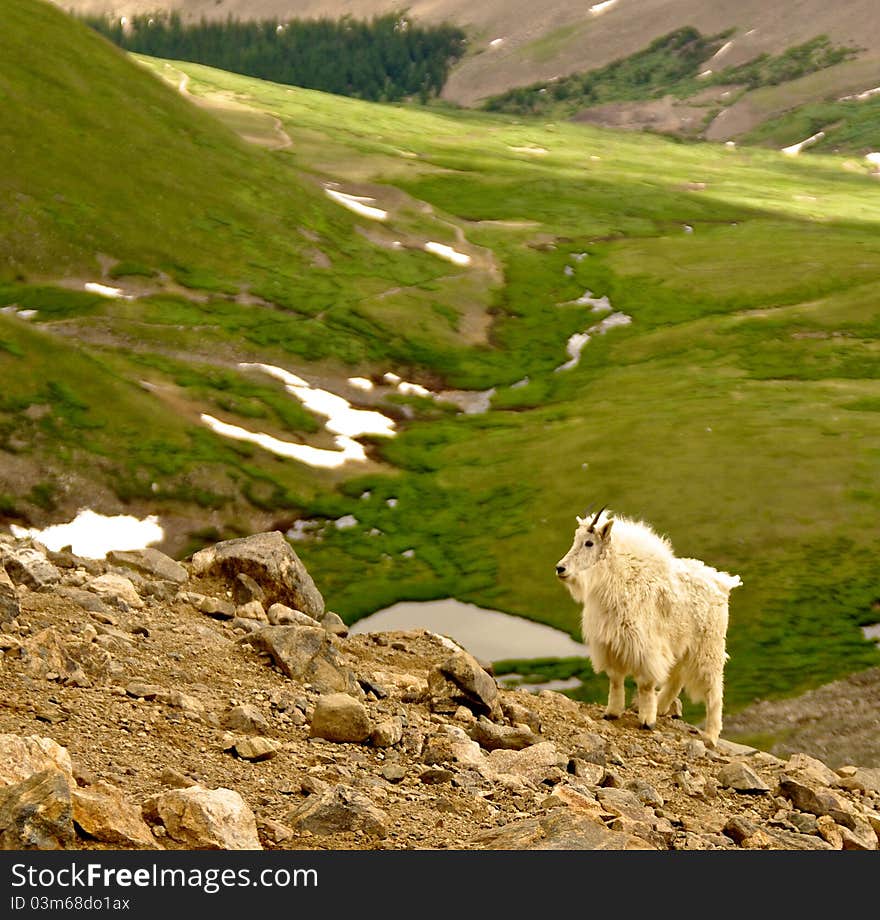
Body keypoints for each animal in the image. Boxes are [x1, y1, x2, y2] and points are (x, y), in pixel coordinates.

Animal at [556, 506, 744, 744]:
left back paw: (710, 735)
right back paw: (662, 707)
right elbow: (615, 679)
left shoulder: (645, 645)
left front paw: (646, 721)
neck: (619, 577)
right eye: (575, 539)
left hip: (709, 646)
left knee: (714, 689)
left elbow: (645, 684)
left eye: (589, 543)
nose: (560, 568)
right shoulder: (611, 643)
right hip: (682, 643)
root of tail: (723, 582)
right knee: (676, 676)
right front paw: (612, 713)